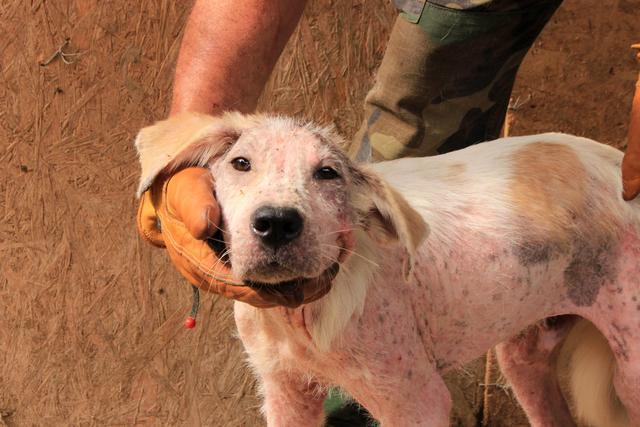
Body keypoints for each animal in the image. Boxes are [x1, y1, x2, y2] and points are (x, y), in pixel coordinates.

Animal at [136, 112, 640, 426]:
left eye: (328, 173)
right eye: (241, 163)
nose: (277, 222)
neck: (300, 316)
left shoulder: (417, 399)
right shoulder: (285, 391)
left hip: (629, 368)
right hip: (523, 352)